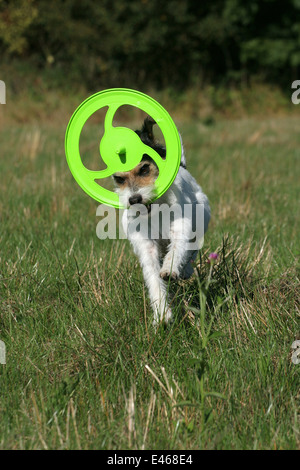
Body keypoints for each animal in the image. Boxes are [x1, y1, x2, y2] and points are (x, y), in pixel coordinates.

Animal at [112, 116, 211, 326]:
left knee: (191, 250)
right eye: (119, 179)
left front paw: (170, 269)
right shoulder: (145, 245)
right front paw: (162, 315)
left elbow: (177, 249)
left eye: (144, 168)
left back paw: (185, 270)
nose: (134, 199)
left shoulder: (181, 227)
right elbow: (153, 279)